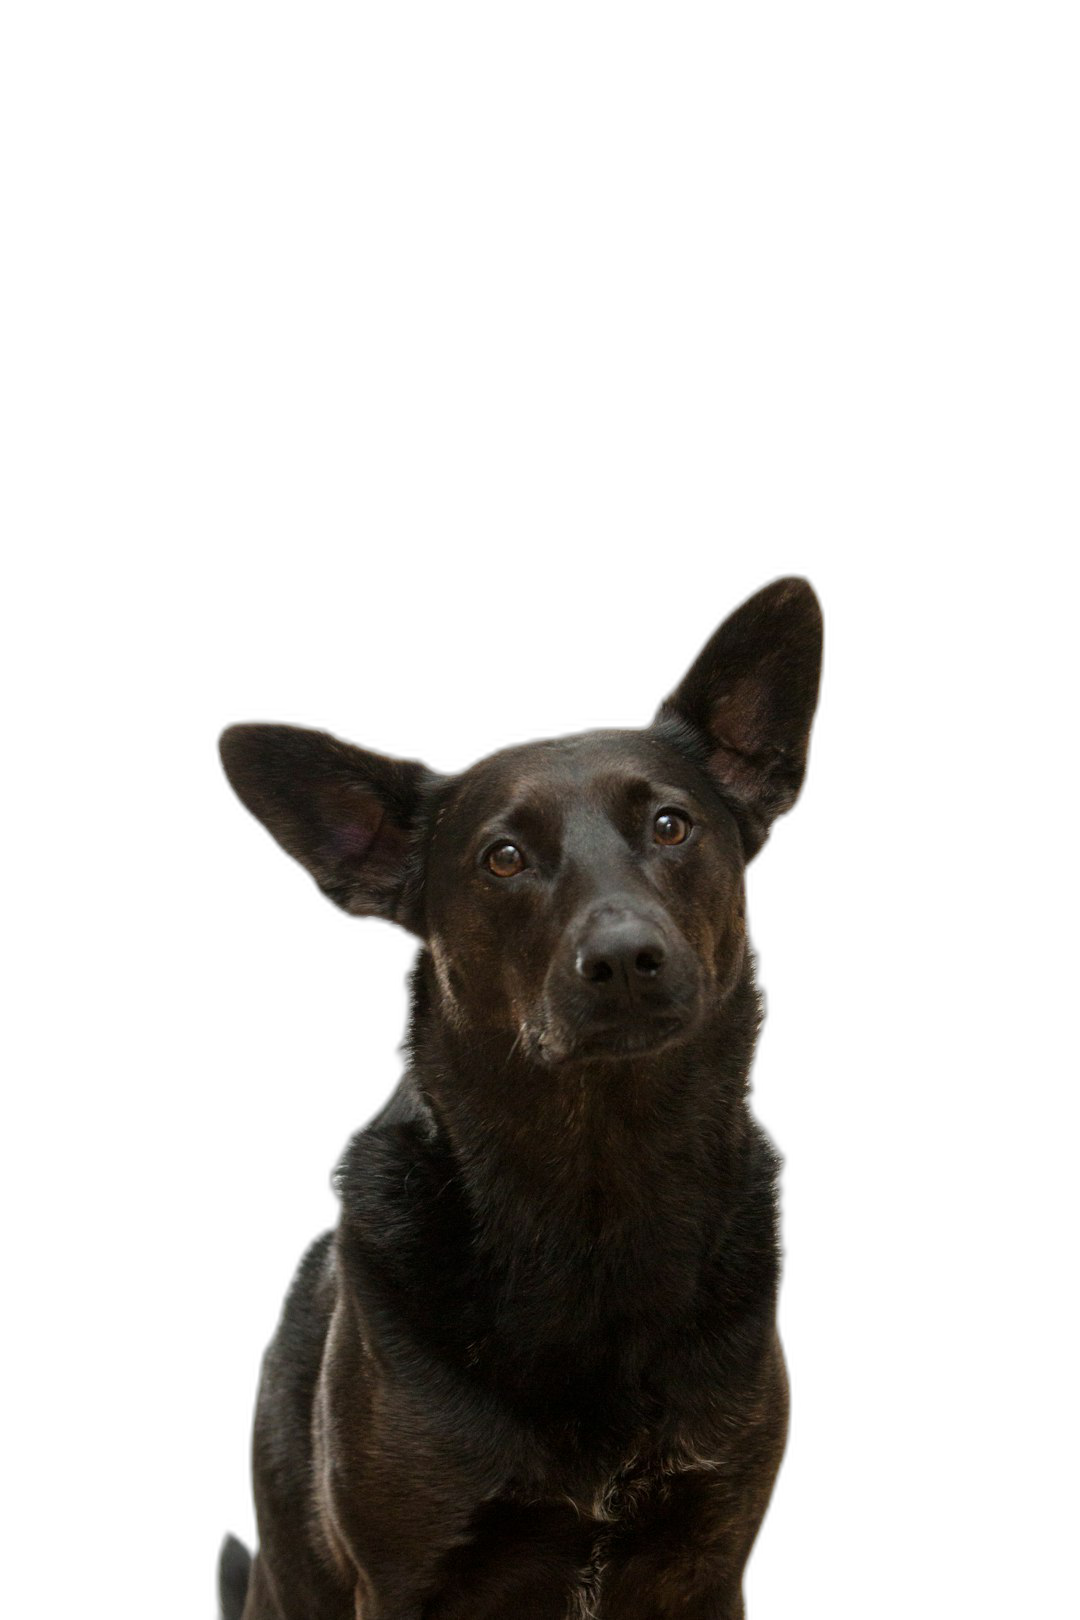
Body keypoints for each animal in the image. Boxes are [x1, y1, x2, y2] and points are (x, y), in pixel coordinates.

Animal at [216, 576, 829, 1613]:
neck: (598, 1193)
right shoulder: (406, 1579)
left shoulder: (709, 1562)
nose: (624, 959)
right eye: (503, 858)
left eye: (671, 825)